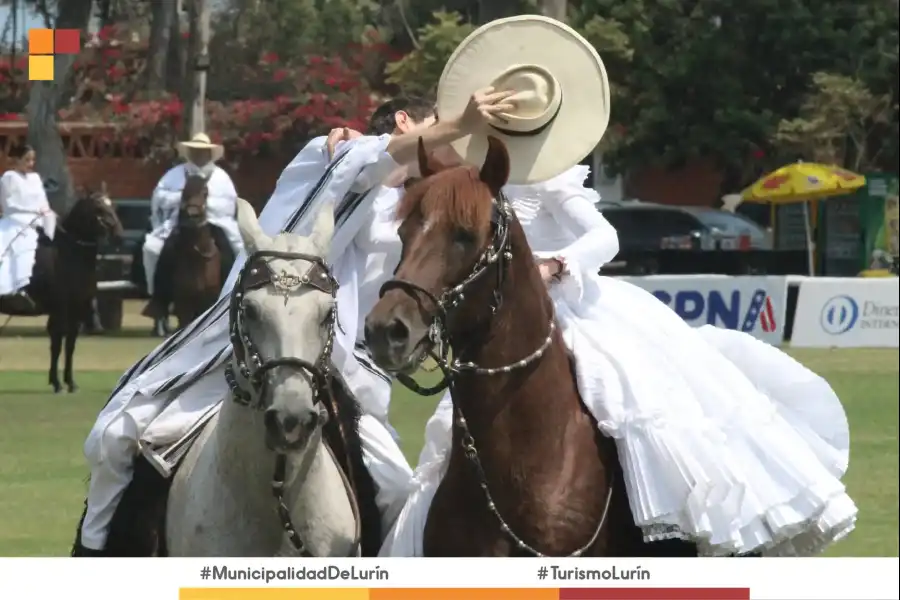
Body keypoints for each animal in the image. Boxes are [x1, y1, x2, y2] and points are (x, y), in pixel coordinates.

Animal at [0, 183, 124, 394]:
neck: (70, 254)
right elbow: (57, 344)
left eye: (113, 205)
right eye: (98, 208)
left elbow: (70, 345)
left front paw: (70, 383)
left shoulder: (77, 310)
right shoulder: (59, 310)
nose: (119, 235)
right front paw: (57, 383)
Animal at [142, 173, 236, 332]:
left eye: (205, 192)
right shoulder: (183, 304)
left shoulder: (208, 302)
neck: (196, 257)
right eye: (184, 191)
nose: (193, 215)